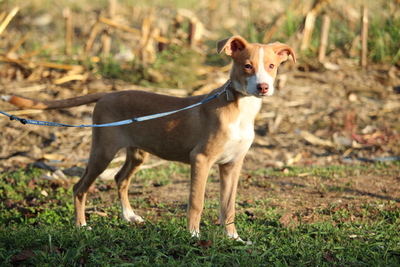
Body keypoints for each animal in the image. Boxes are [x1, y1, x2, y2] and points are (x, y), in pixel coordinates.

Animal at [1, 35, 296, 243]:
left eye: (271, 66)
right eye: (247, 66)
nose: (263, 87)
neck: (239, 107)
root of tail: (107, 94)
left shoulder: (232, 165)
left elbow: (229, 206)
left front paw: (234, 238)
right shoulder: (200, 160)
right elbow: (196, 202)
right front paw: (193, 236)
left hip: (137, 153)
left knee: (120, 178)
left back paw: (129, 216)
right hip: (103, 151)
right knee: (80, 187)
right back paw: (81, 226)